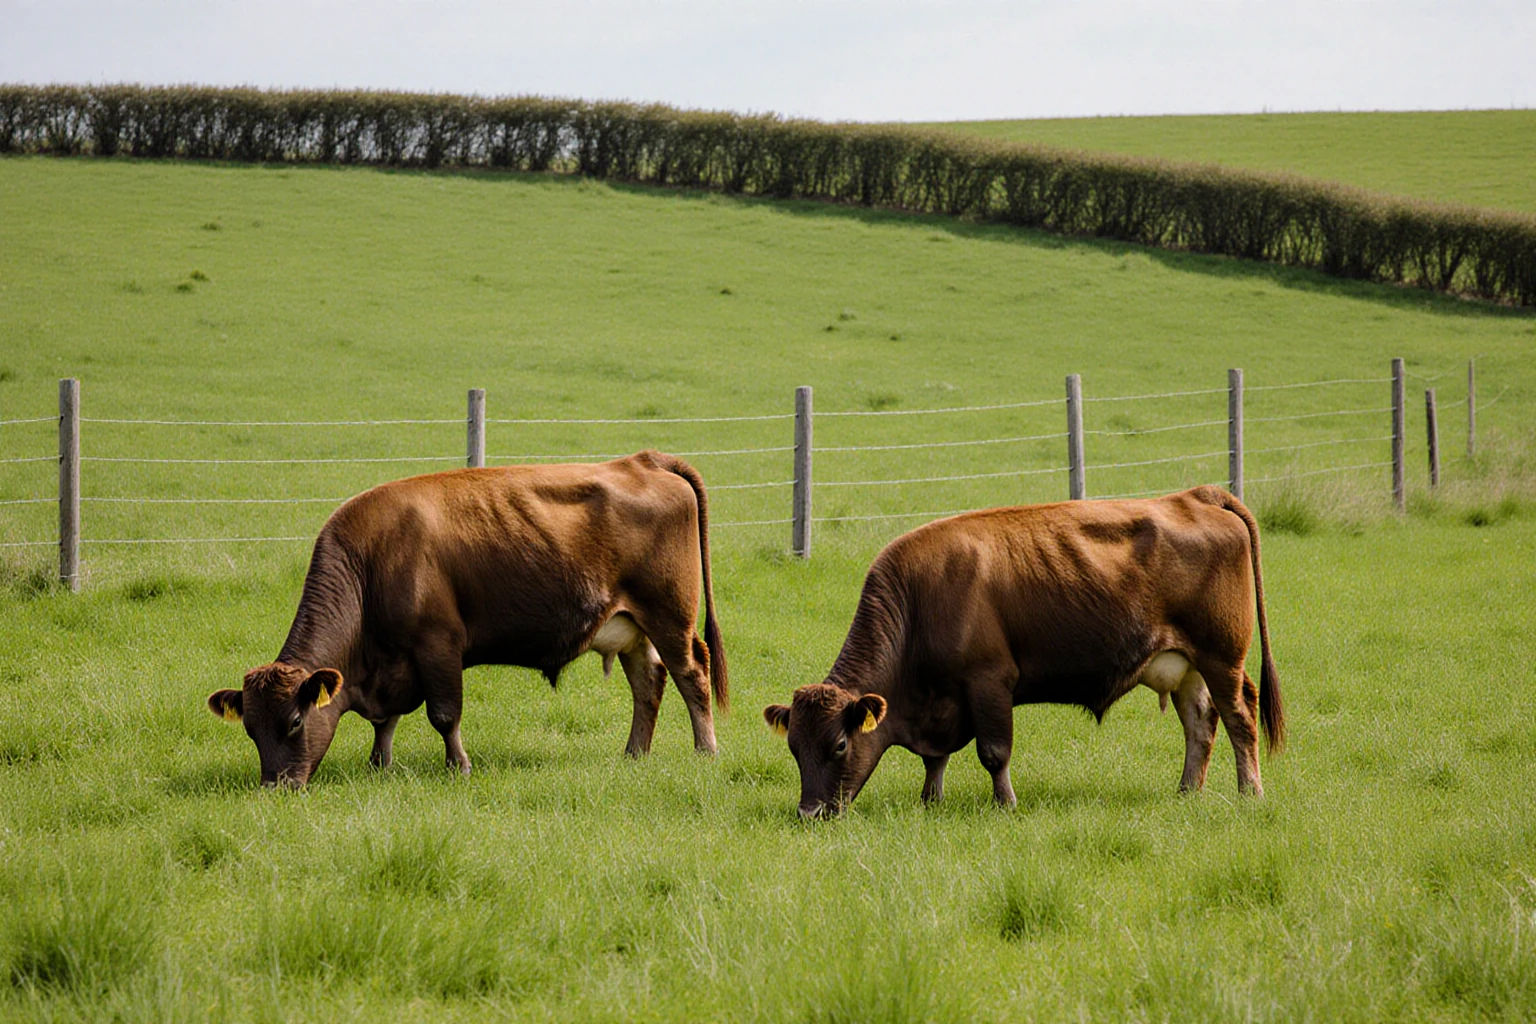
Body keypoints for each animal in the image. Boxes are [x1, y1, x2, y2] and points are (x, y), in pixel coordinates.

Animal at [207, 451, 727, 787]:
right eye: (250, 728)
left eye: (295, 722)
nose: (275, 787)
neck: (369, 564)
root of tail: (642, 460)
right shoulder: (392, 665)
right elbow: (386, 722)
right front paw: (380, 765)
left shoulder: (437, 646)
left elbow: (443, 714)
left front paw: (459, 767)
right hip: (632, 629)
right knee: (648, 683)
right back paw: (634, 754)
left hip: (669, 617)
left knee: (692, 675)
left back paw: (706, 751)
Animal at [763, 486, 1283, 818]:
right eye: (793, 747)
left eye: (839, 744)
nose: (809, 813)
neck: (919, 601)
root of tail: (1193, 496)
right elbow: (935, 760)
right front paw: (931, 801)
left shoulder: (989, 682)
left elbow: (994, 752)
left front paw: (1005, 804)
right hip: (1185, 666)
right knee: (1200, 725)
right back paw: (1186, 792)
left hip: (1222, 659)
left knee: (1239, 718)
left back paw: (1250, 793)